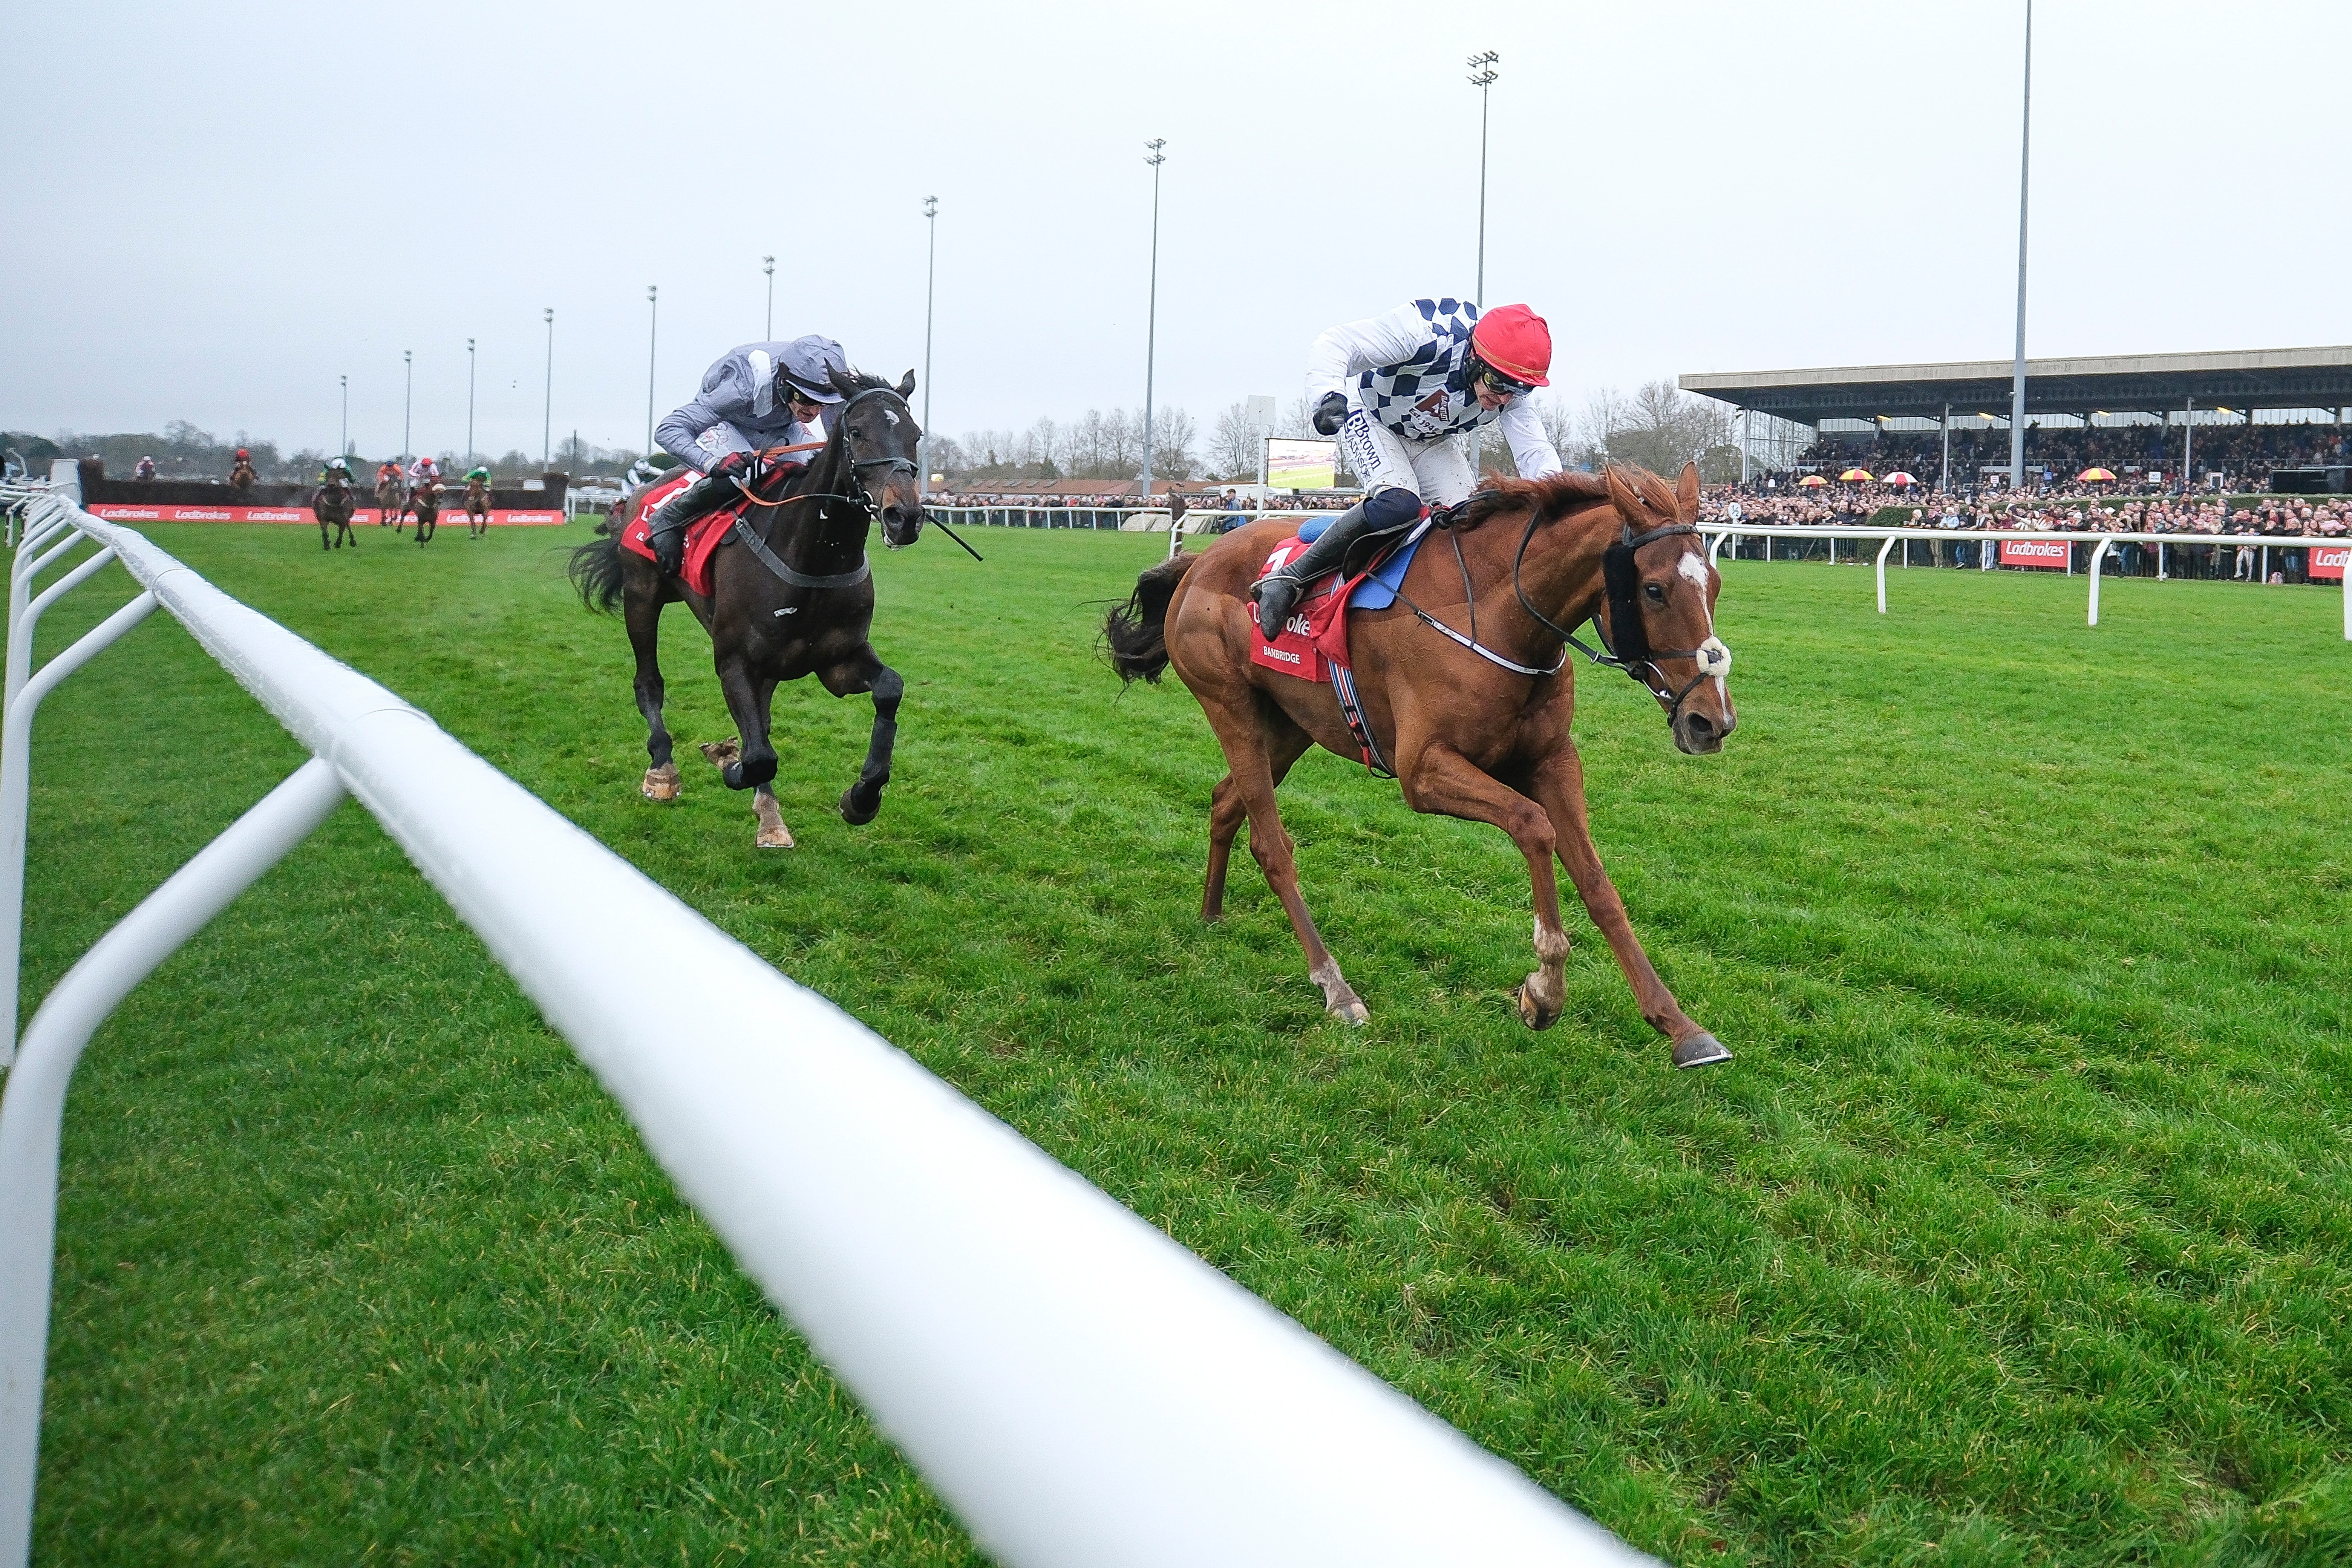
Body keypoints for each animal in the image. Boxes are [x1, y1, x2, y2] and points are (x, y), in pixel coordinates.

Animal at [569, 366, 926, 851]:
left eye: (915, 435)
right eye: (856, 431)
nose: (903, 517)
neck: (811, 555)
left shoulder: (837, 660)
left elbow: (890, 687)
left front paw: (862, 797)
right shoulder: (735, 660)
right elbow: (757, 756)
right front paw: (726, 758)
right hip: (641, 598)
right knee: (649, 682)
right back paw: (662, 768)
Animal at [1110, 453, 1740, 1067]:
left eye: (1714, 583)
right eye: (1654, 590)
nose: (1711, 722)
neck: (1495, 613)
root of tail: (1198, 562)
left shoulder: (1552, 760)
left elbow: (1597, 882)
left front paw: (1680, 1027)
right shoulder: (1424, 771)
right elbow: (1534, 827)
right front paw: (1543, 992)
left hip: (1292, 726)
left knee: (1225, 803)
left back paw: (1212, 913)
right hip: (1231, 708)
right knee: (1271, 845)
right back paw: (1336, 987)